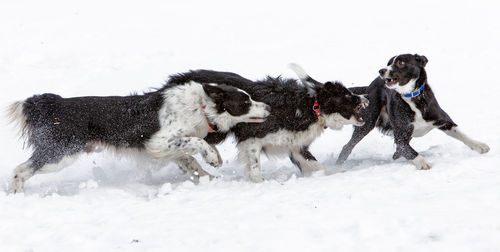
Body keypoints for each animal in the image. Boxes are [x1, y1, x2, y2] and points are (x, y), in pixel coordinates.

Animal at [334, 53, 490, 169]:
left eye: (401, 62)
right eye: (388, 63)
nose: (381, 71)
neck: (412, 97)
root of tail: (369, 87)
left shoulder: (443, 121)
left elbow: (461, 134)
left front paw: (480, 146)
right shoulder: (400, 137)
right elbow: (411, 152)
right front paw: (423, 163)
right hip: (367, 122)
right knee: (347, 147)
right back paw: (338, 166)